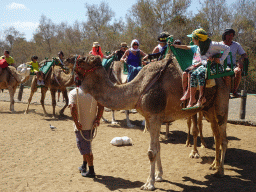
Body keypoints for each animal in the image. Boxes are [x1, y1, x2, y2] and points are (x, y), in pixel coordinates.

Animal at [65, 54, 229, 190]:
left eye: (82, 59)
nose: (67, 59)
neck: (139, 89)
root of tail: (222, 77)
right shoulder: (151, 118)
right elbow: (158, 148)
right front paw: (159, 175)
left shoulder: (155, 116)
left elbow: (151, 152)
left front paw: (149, 184)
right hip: (208, 108)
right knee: (217, 136)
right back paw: (214, 165)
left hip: (221, 104)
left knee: (223, 138)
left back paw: (220, 171)